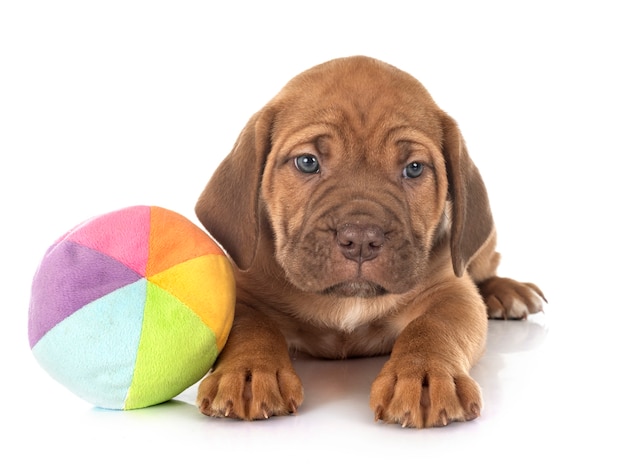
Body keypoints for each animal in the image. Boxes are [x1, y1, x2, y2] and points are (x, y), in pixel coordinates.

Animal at [195, 55, 540, 428]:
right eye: (307, 162)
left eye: (414, 168)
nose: (361, 239)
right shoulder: (241, 293)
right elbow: (251, 327)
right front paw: (249, 371)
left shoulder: (451, 292)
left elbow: (433, 327)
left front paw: (424, 376)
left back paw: (508, 292)